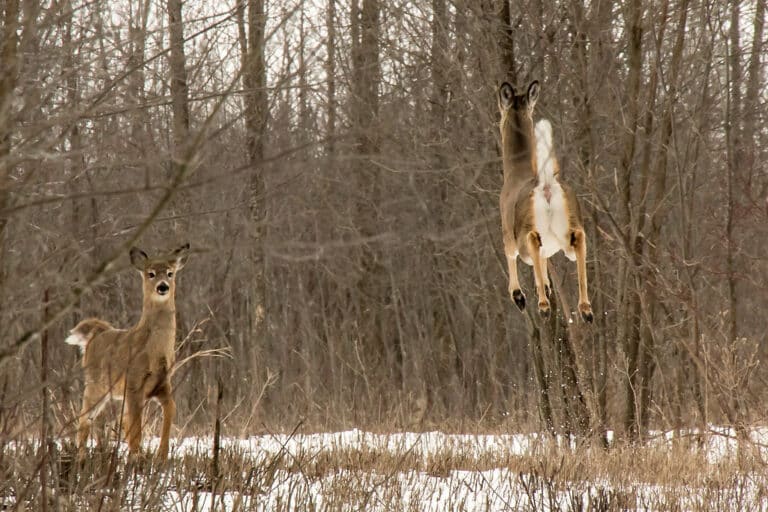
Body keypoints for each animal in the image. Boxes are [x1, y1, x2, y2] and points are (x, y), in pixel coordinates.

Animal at [65, 243, 190, 461]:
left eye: (170, 273)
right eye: (150, 273)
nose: (163, 286)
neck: (154, 353)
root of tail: (97, 333)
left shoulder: (162, 384)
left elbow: (170, 411)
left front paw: (162, 454)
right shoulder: (133, 383)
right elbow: (136, 428)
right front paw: (136, 457)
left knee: (118, 420)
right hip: (95, 385)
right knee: (84, 418)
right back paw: (81, 457)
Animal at [497, 81, 593, 322]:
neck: (515, 171)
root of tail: (547, 185)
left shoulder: (506, 230)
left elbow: (510, 255)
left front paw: (518, 295)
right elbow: (542, 261)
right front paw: (548, 286)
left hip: (525, 231)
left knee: (531, 242)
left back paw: (543, 305)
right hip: (567, 228)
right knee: (578, 240)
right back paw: (585, 309)